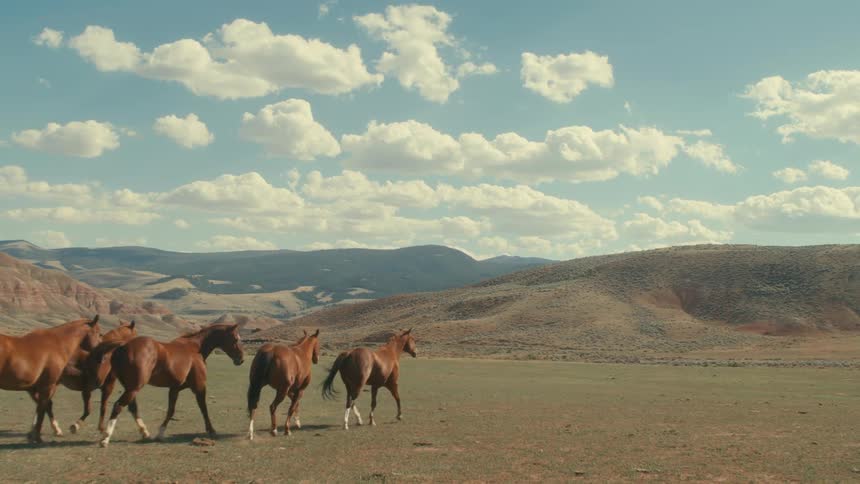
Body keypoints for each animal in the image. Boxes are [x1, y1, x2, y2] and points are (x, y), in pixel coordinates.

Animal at [99, 323, 244, 447]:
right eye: (236, 339)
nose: (241, 359)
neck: (196, 348)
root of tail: (122, 347)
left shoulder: (175, 389)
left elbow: (171, 410)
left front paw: (160, 433)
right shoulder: (199, 387)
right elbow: (203, 408)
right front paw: (211, 430)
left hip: (130, 387)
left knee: (132, 408)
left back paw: (145, 433)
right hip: (134, 388)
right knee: (118, 406)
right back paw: (105, 438)